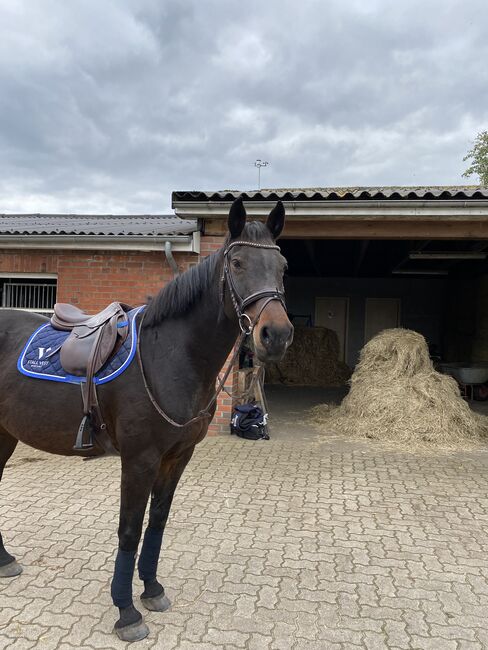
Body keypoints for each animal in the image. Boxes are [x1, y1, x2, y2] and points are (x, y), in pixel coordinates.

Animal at [0, 196, 294, 636]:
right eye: (238, 262)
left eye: (283, 266)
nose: (275, 336)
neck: (169, 354)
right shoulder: (139, 460)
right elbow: (129, 529)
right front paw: (126, 611)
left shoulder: (177, 457)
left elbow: (156, 522)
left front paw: (152, 590)